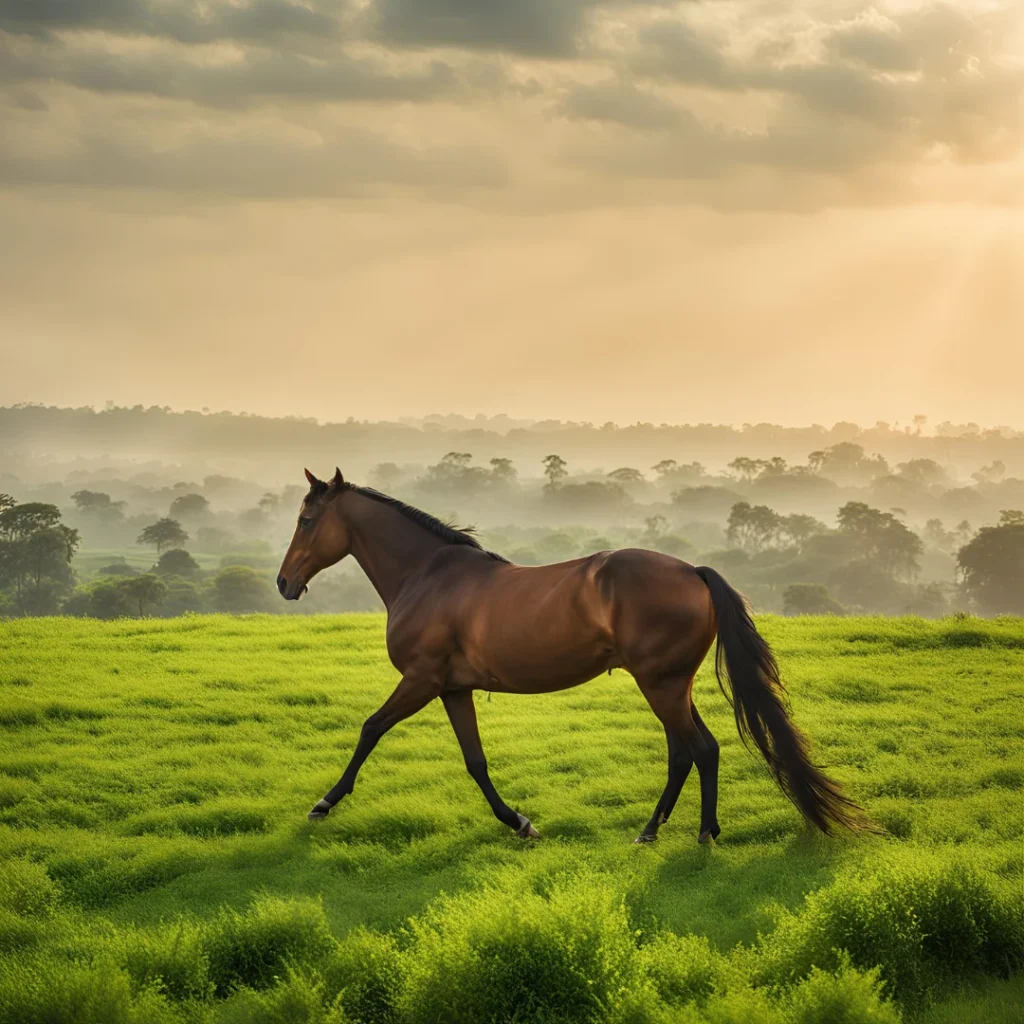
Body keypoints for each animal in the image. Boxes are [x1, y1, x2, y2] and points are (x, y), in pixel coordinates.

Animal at [280, 468, 872, 843]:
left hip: (660, 685)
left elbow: (370, 730)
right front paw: (520, 824)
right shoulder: (453, 689)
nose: (285, 583)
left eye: (307, 521)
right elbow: (475, 762)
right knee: (686, 752)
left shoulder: (421, 681)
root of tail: (693, 571)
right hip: (670, 685)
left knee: (699, 749)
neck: (428, 576)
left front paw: (323, 803)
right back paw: (652, 831)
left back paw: (701, 834)